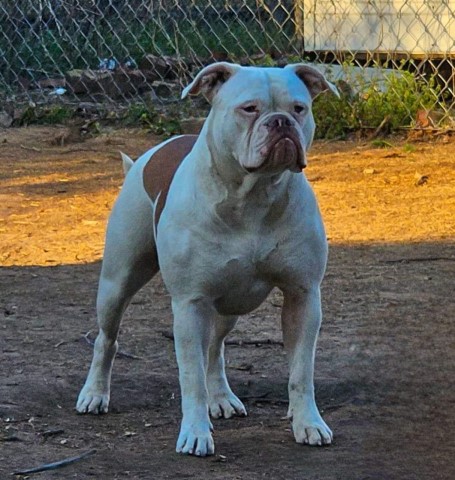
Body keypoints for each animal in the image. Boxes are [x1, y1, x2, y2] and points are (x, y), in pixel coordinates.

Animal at [76, 62, 338, 456]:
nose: (281, 122)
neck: (252, 196)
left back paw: (222, 398)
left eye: (299, 108)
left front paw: (307, 422)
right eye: (249, 108)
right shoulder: (189, 304)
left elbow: (301, 371)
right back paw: (94, 394)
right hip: (117, 283)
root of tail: (144, 159)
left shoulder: (303, 296)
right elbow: (191, 377)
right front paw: (195, 434)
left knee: (215, 348)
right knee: (106, 339)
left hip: (230, 303)